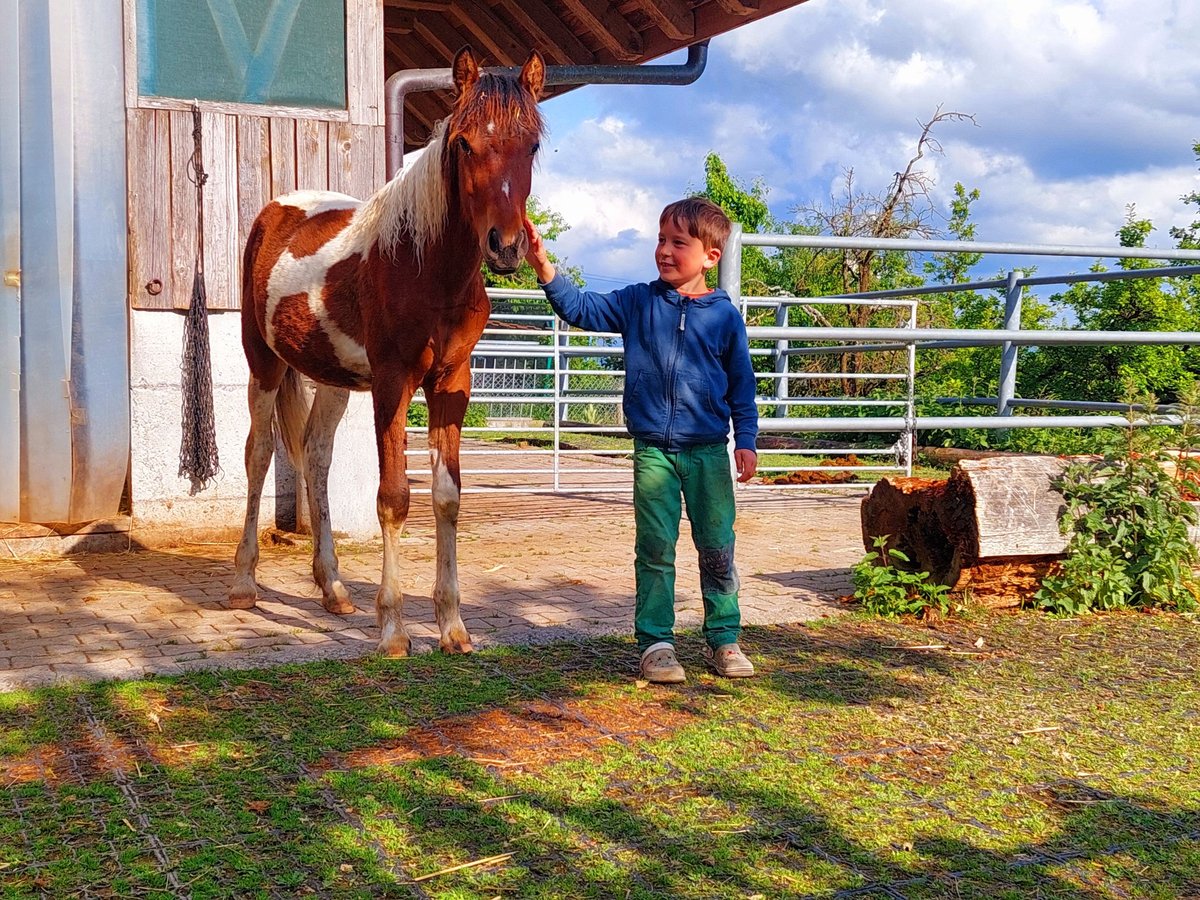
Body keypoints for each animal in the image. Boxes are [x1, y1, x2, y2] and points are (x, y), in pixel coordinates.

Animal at [229, 47, 545, 657]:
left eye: (533, 145)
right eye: (463, 143)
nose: (506, 246)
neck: (425, 266)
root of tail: (276, 211)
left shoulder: (452, 383)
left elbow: (446, 497)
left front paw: (452, 626)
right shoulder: (394, 382)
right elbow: (394, 498)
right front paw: (394, 628)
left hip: (332, 379)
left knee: (316, 456)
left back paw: (331, 587)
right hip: (265, 363)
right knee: (259, 454)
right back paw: (243, 583)